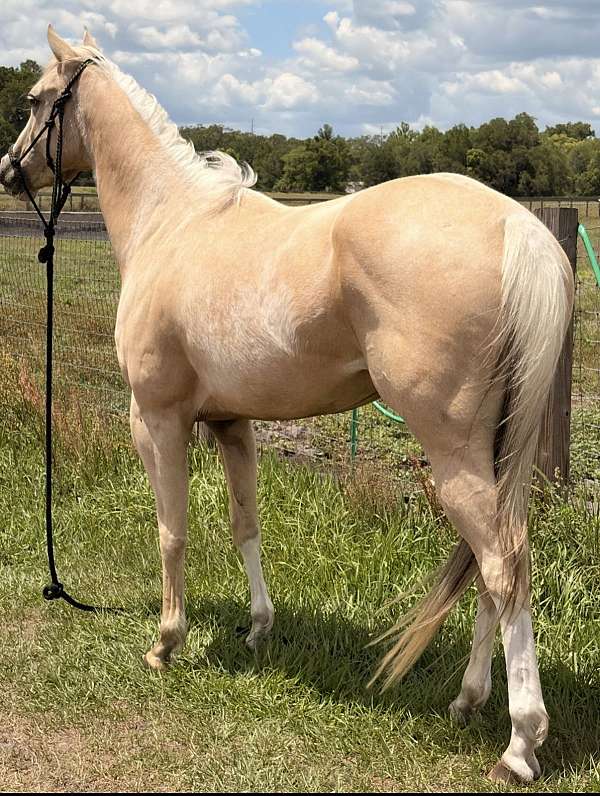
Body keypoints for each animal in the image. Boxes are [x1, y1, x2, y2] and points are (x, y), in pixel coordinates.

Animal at [0, 26, 574, 784]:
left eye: (37, 100)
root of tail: (517, 225)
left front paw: (166, 643)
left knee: (505, 565)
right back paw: (469, 700)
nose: (8, 171)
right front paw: (258, 628)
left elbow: (172, 531)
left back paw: (518, 744)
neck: (171, 223)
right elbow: (245, 523)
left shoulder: (156, 420)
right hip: (495, 456)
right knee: (489, 570)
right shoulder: (230, 423)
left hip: (454, 456)